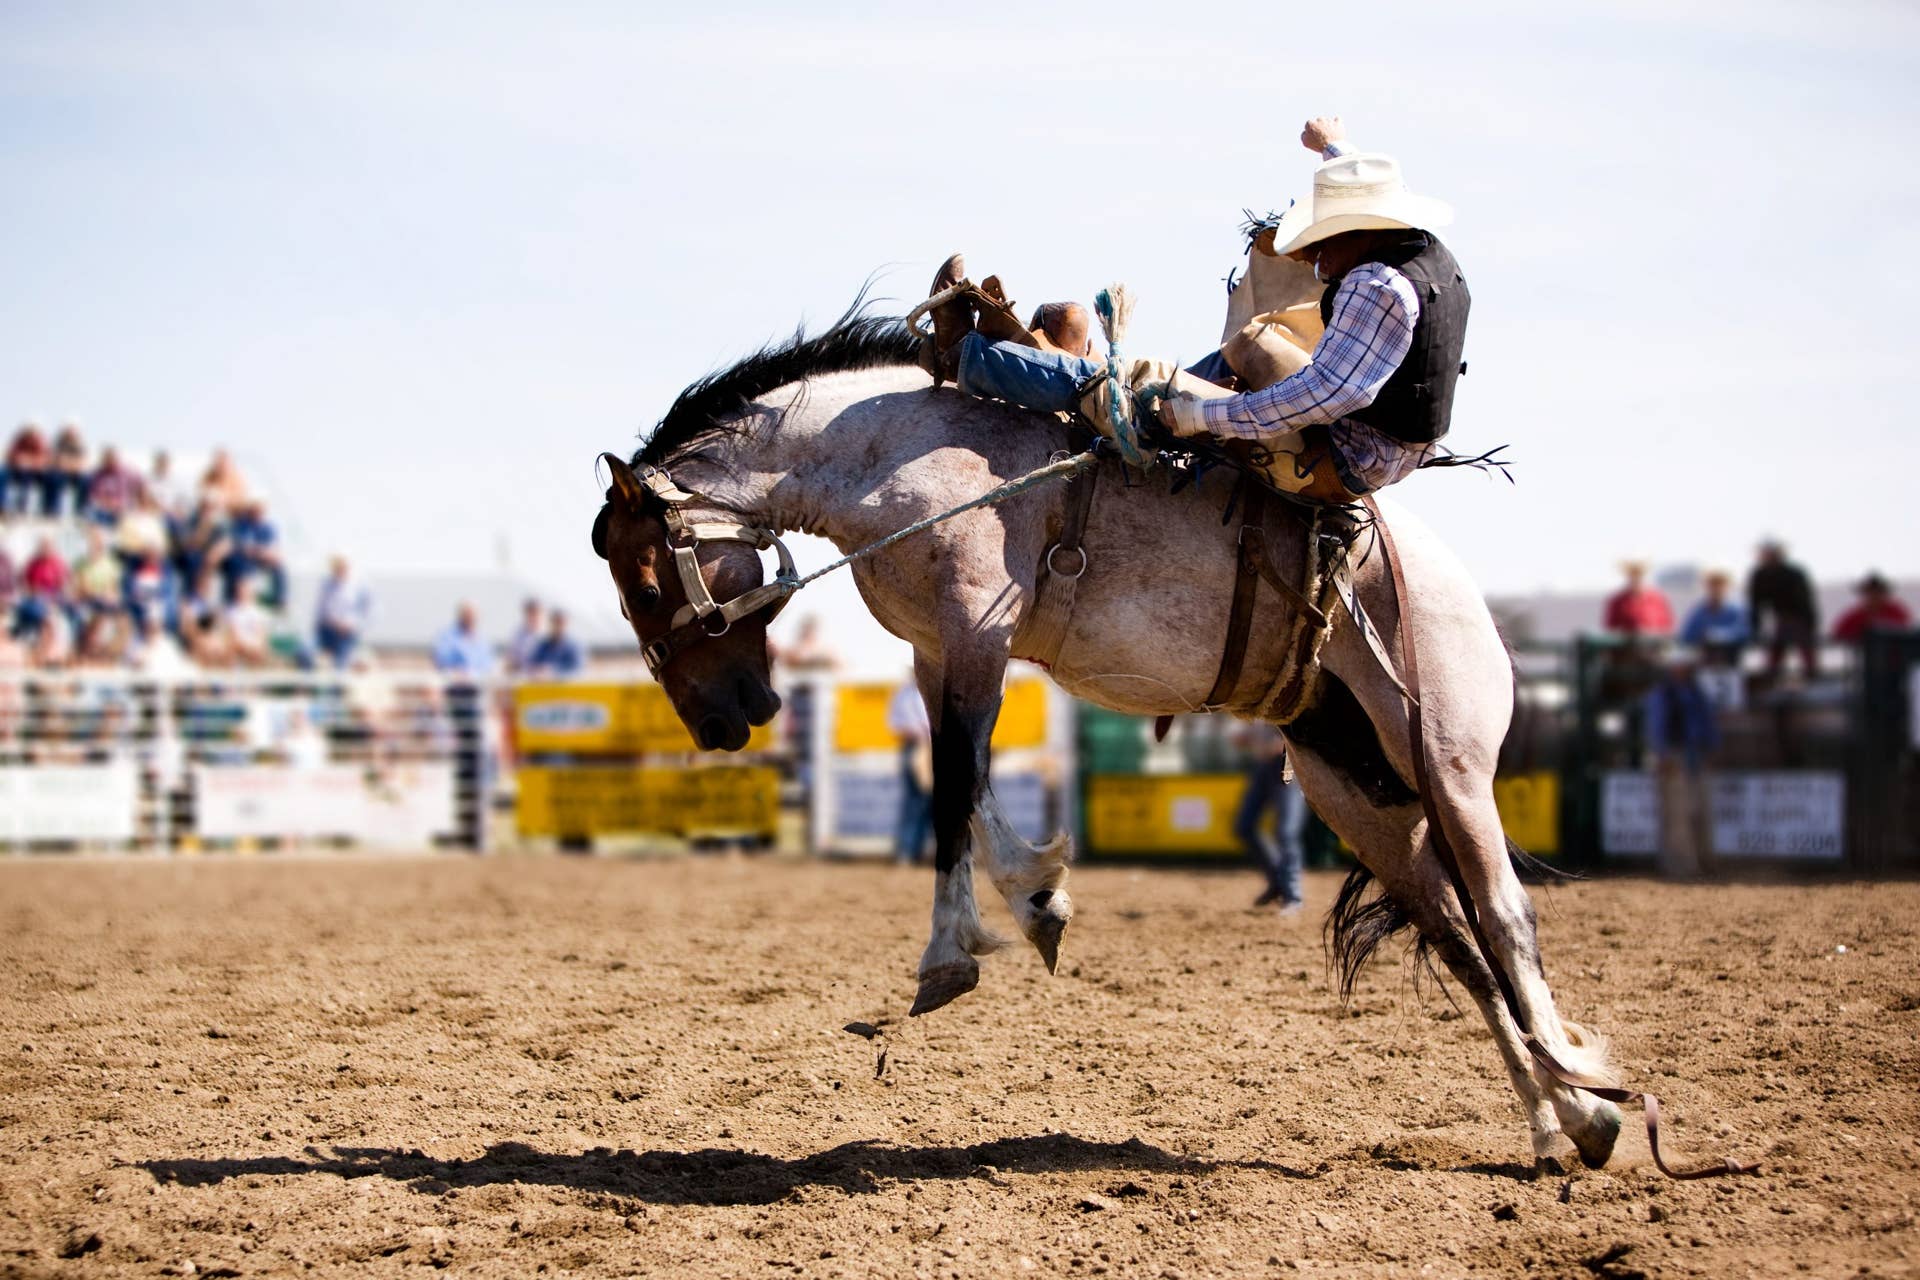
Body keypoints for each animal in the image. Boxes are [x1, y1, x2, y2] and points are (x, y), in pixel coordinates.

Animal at [590, 308, 1627, 1172]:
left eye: (642, 580)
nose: (717, 723)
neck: (896, 454)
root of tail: (1460, 593)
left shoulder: (978, 628)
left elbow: (954, 788)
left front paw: (949, 956)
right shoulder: (940, 653)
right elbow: (971, 791)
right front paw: (1038, 902)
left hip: (1448, 762)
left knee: (1504, 916)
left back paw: (1587, 1094)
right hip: (1355, 791)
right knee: (1455, 936)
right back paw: (1560, 1125)